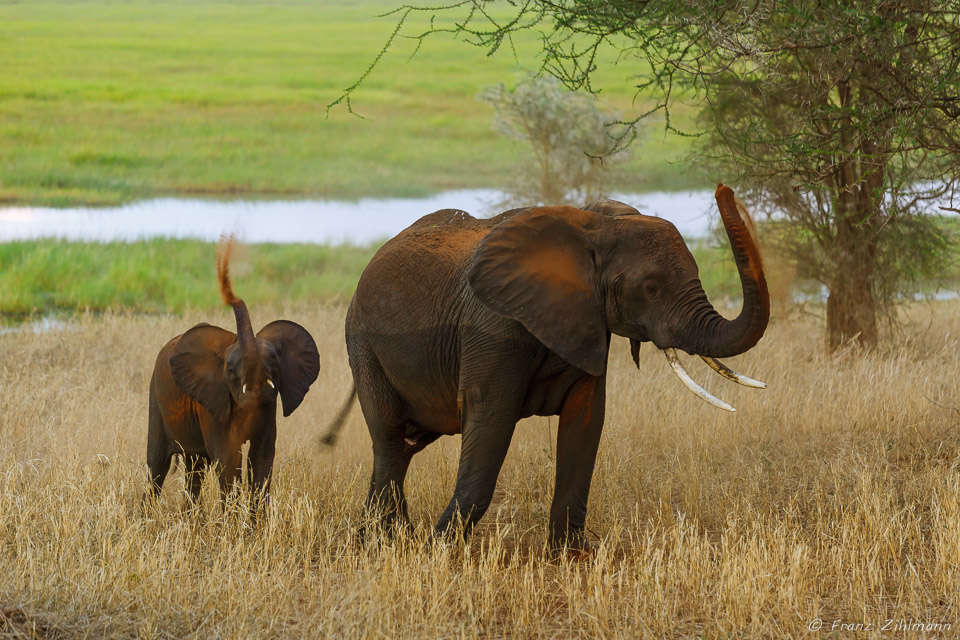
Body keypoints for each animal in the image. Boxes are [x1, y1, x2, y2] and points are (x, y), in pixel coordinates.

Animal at [145, 244, 318, 504]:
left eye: (274, 363)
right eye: (231, 369)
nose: (229, 290)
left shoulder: (270, 407)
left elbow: (261, 457)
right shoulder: (211, 401)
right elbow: (229, 458)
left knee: (195, 466)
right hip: (155, 397)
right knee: (157, 465)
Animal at [342, 182, 768, 548]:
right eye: (650, 288)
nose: (723, 190)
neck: (594, 226)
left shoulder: (589, 322)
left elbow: (586, 421)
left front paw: (573, 554)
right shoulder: (492, 327)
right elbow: (491, 421)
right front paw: (438, 550)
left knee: (404, 446)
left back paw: (381, 538)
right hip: (362, 344)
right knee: (390, 439)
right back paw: (386, 542)